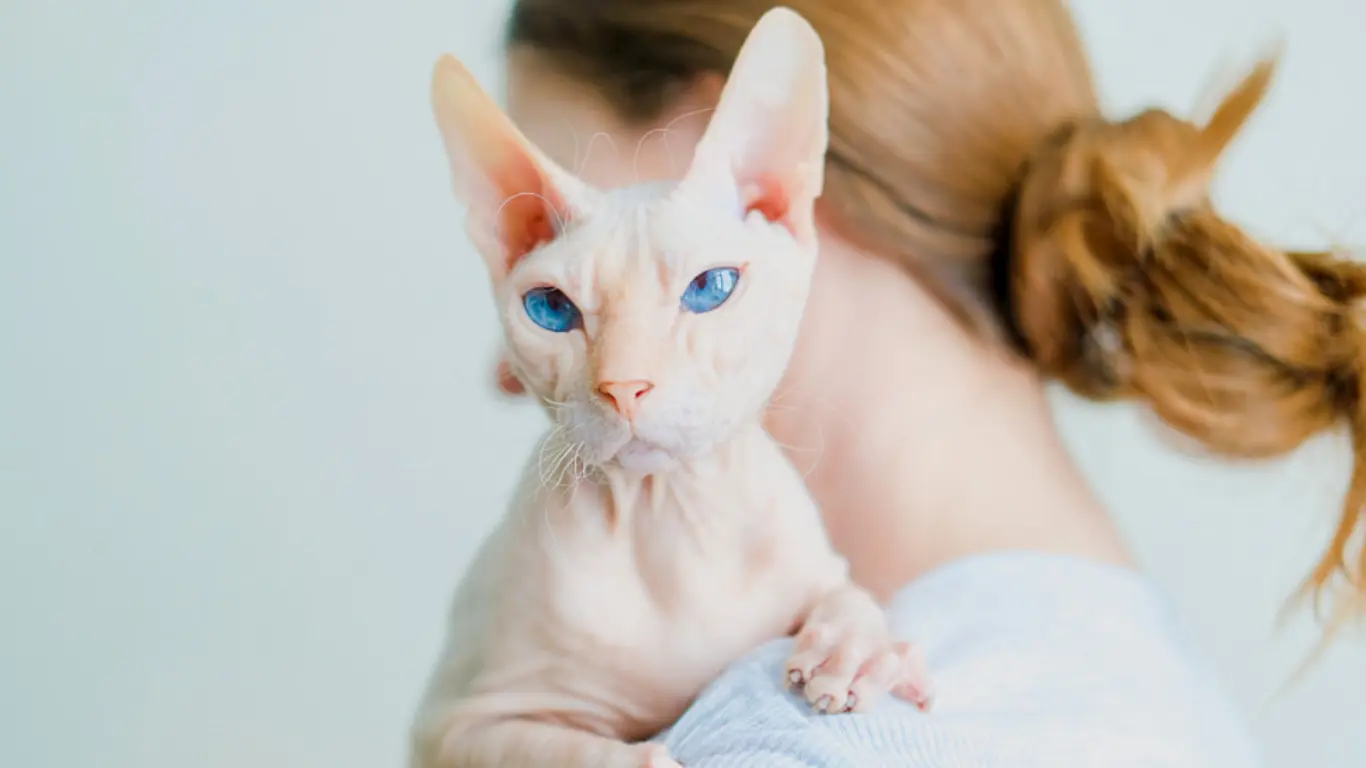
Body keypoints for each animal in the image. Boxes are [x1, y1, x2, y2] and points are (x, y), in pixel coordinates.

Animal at [409, 7, 934, 765]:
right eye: (551, 309)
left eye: (710, 287)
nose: (625, 386)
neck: (669, 519)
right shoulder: (455, 723)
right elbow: (594, 751)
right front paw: (654, 751)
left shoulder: (823, 567)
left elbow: (851, 594)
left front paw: (855, 651)